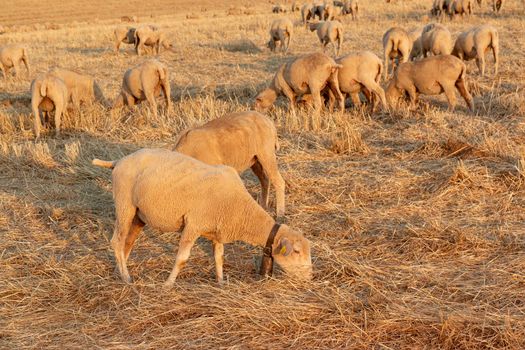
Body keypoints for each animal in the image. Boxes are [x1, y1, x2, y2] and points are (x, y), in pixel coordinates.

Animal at [91, 148, 312, 284]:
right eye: (297, 251)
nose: (310, 276)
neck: (240, 210)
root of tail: (119, 160)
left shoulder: (218, 229)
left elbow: (219, 257)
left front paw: (221, 282)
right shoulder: (193, 224)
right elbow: (182, 259)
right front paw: (168, 284)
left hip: (139, 214)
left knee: (126, 242)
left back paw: (119, 271)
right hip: (124, 205)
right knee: (117, 241)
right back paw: (126, 278)